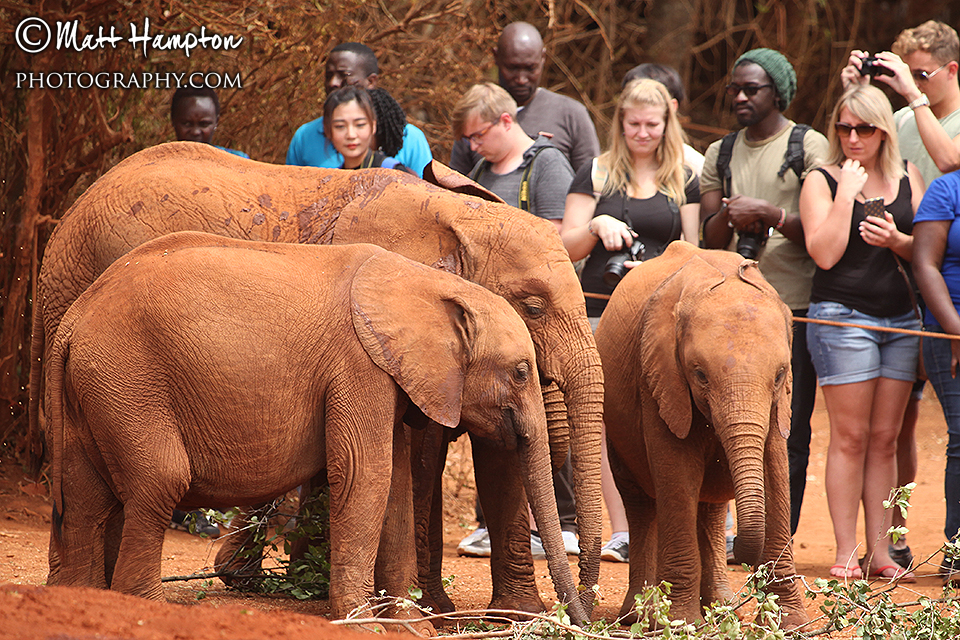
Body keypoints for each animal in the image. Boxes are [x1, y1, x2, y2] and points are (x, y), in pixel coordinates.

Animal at [29, 142, 602, 618]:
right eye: (533, 307)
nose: (584, 614)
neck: (458, 217)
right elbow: (405, 460)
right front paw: (426, 613)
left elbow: (480, 454)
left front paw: (502, 617)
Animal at [594, 241, 808, 629]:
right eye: (700, 375)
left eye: (780, 375)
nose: (742, 551)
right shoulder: (659, 376)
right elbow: (676, 475)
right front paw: (679, 622)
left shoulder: (777, 405)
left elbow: (775, 473)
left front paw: (790, 623)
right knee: (641, 504)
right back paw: (640, 615)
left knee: (709, 509)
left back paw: (721, 607)